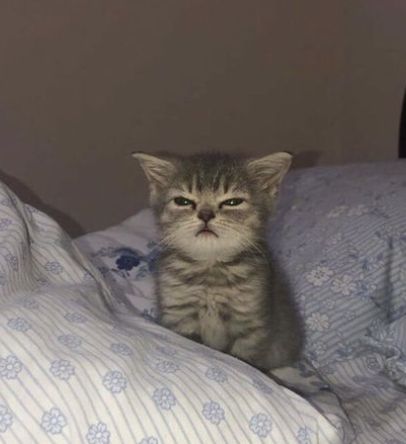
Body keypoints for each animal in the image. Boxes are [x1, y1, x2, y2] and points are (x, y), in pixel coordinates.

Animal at [133, 151, 302, 370]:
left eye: (232, 202)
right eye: (183, 201)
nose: (205, 214)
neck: (210, 269)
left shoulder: (250, 322)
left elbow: (244, 360)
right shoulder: (179, 313)